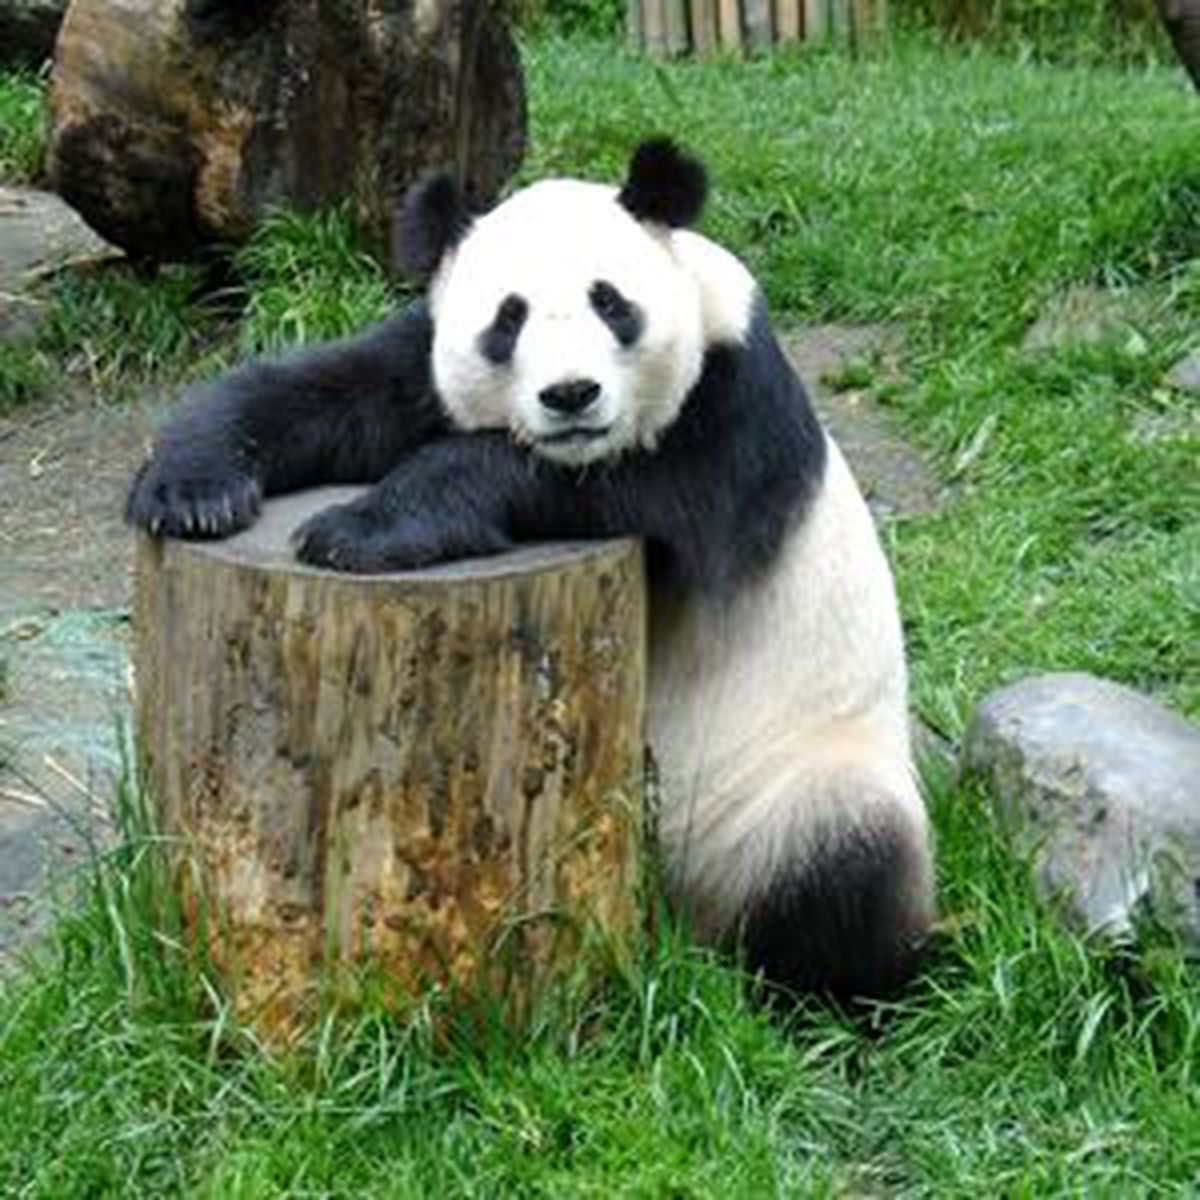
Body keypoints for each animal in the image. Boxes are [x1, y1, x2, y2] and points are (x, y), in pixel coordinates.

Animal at [127, 138, 934, 1002]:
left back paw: (814, 993)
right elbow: (322, 394)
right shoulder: (425, 357)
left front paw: (359, 530)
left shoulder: (730, 413)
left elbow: (628, 491)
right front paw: (191, 491)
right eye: (506, 319)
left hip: (803, 774)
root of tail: (689, 918)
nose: (571, 395)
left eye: (611, 303)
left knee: (848, 870)